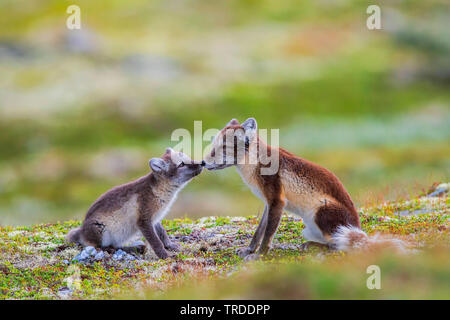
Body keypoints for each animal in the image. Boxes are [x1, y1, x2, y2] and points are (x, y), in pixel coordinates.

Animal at [67, 149, 204, 258]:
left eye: (188, 158)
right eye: (181, 164)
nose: (202, 162)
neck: (159, 190)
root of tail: (81, 232)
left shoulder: (156, 218)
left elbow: (163, 234)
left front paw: (171, 246)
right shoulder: (143, 220)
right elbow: (156, 242)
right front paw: (165, 256)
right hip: (101, 230)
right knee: (105, 247)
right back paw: (131, 249)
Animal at [204, 117, 400, 258]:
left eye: (223, 147)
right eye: (213, 144)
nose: (203, 162)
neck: (255, 163)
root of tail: (357, 227)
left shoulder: (277, 201)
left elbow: (267, 235)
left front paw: (259, 256)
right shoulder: (269, 203)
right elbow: (259, 231)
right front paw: (249, 250)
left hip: (322, 211)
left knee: (338, 246)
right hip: (308, 228)